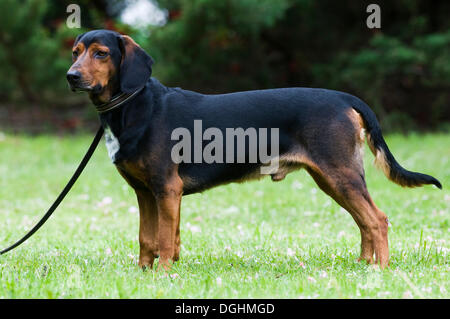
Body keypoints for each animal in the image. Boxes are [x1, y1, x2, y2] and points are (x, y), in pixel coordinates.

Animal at [67, 29, 442, 270]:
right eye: (76, 53)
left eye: (101, 53)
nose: (71, 76)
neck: (135, 105)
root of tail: (344, 97)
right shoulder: (146, 192)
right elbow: (150, 239)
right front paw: (144, 275)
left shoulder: (165, 188)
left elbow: (163, 239)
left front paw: (162, 276)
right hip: (332, 179)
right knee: (364, 221)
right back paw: (363, 265)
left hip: (341, 175)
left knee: (377, 219)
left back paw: (380, 270)